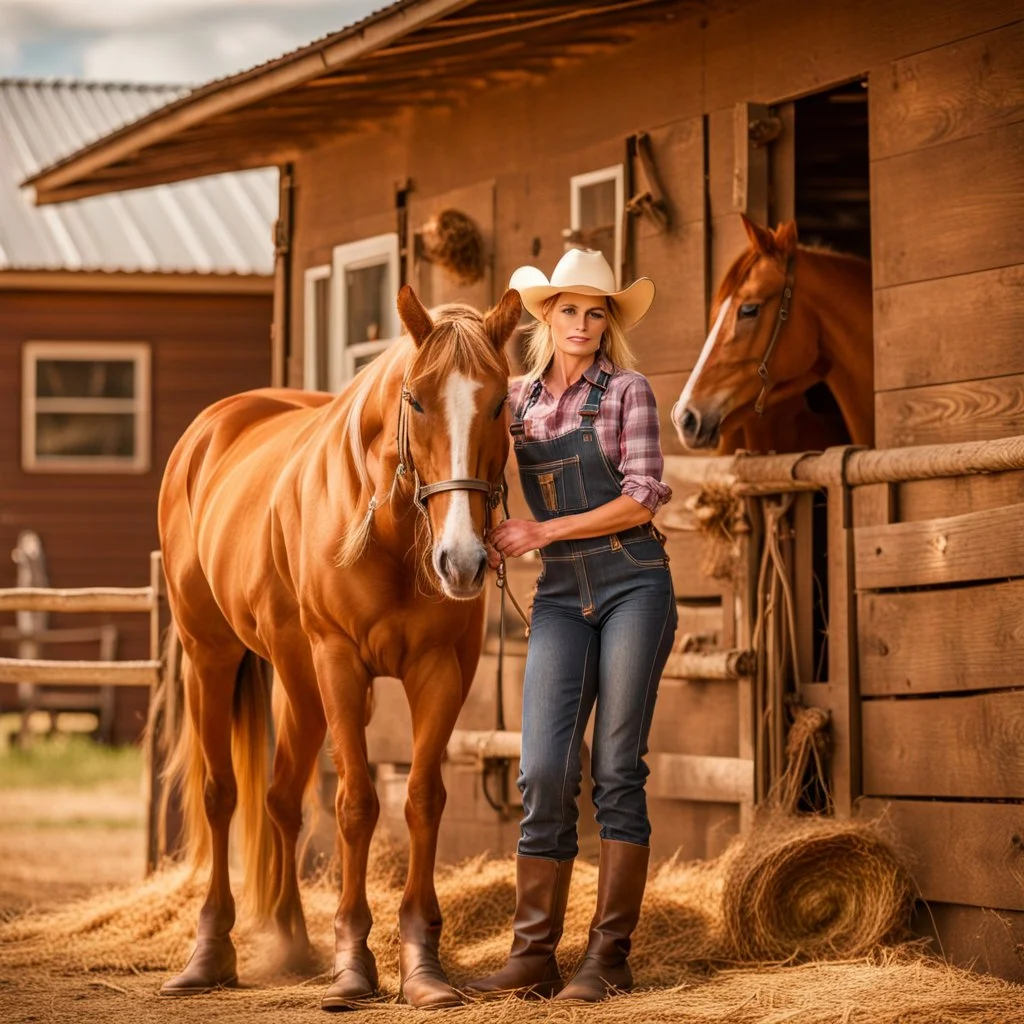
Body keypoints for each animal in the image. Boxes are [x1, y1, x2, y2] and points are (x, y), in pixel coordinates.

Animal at [157, 282, 528, 1007]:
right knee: (221, 796)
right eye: (417, 399)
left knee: (279, 798)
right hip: (213, 658)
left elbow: (421, 798)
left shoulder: (439, 672)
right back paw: (210, 954)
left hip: (297, 686)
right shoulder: (340, 666)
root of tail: (211, 428)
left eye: (501, 402)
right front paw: (353, 962)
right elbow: (355, 803)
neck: (390, 533)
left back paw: (293, 943)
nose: (462, 562)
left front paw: (421, 964)